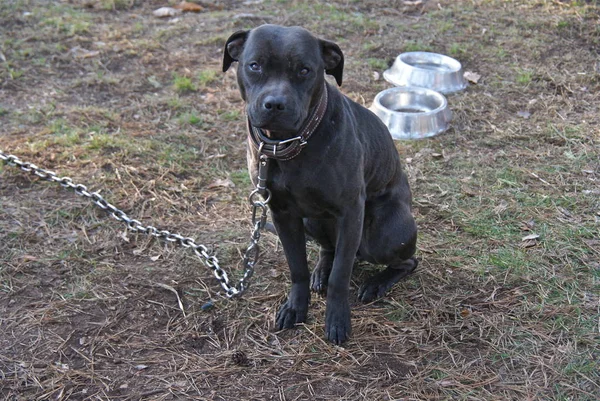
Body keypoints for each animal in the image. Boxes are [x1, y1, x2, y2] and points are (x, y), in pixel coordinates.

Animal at [221, 25, 418, 344]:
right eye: (255, 65)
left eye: (304, 70)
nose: (275, 104)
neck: (288, 144)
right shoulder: (283, 214)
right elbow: (297, 267)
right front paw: (296, 308)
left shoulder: (351, 212)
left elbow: (341, 276)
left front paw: (337, 319)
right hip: (312, 221)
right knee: (330, 250)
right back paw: (321, 271)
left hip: (382, 235)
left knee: (406, 262)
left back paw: (377, 283)